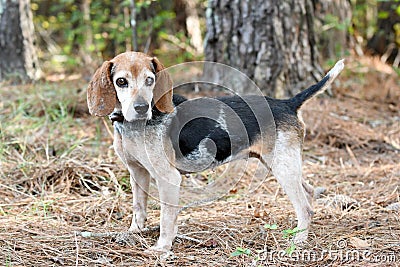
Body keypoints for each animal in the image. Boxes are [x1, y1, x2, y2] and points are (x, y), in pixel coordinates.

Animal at [86, 52, 344, 255]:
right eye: (121, 81)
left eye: (150, 80)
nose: (141, 108)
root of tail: (287, 103)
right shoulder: (137, 173)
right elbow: (138, 209)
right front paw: (133, 233)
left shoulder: (168, 178)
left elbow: (166, 218)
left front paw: (162, 248)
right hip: (282, 164)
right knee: (309, 194)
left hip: (283, 167)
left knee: (305, 208)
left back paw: (298, 242)